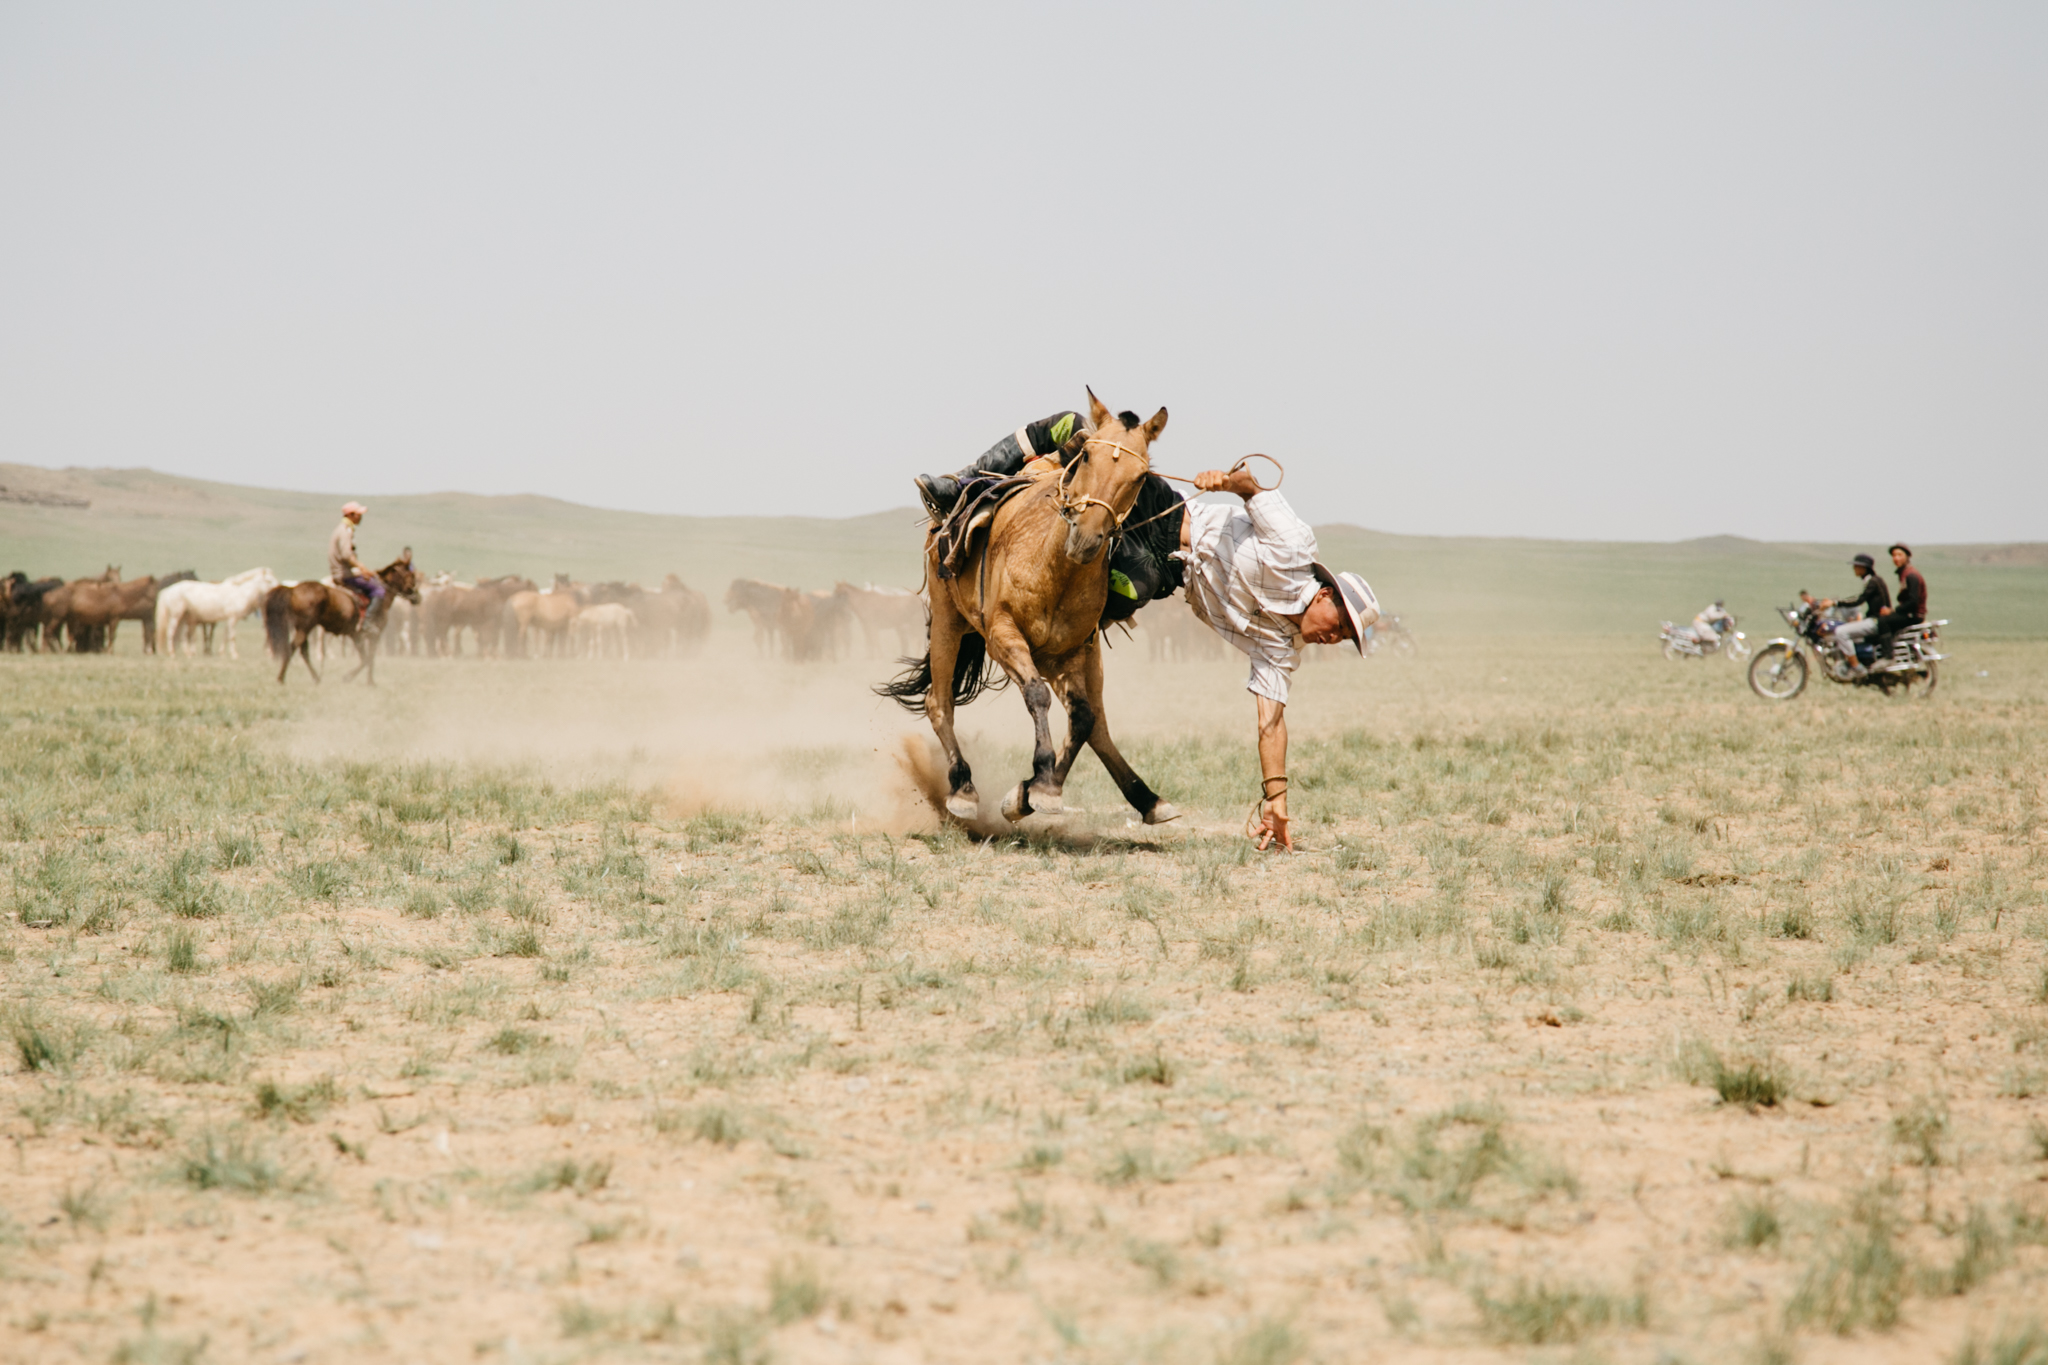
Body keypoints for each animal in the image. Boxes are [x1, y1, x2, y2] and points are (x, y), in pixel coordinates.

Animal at [266, 552, 421, 687]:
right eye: (411, 575)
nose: (418, 597)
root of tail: (293, 589)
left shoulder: (362, 635)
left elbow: (368, 658)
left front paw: (368, 681)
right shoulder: (367, 635)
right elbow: (367, 658)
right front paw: (353, 678)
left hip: (303, 627)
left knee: (303, 650)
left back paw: (316, 678)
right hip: (305, 627)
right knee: (293, 647)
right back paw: (281, 678)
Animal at [880, 388, 1187, 826]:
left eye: (1140, 475)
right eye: (1087, 457)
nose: (1086, 539)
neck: (1053, 566)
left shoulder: (1071, 652)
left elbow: (1083, 718)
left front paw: (1035, 790)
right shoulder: (1003, 635)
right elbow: (1038, 696)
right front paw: (1038, 781)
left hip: (1070, 656)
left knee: (1095, 723)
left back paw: (1147, 799)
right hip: (948, 621)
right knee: (939, 704)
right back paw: (963, 789)